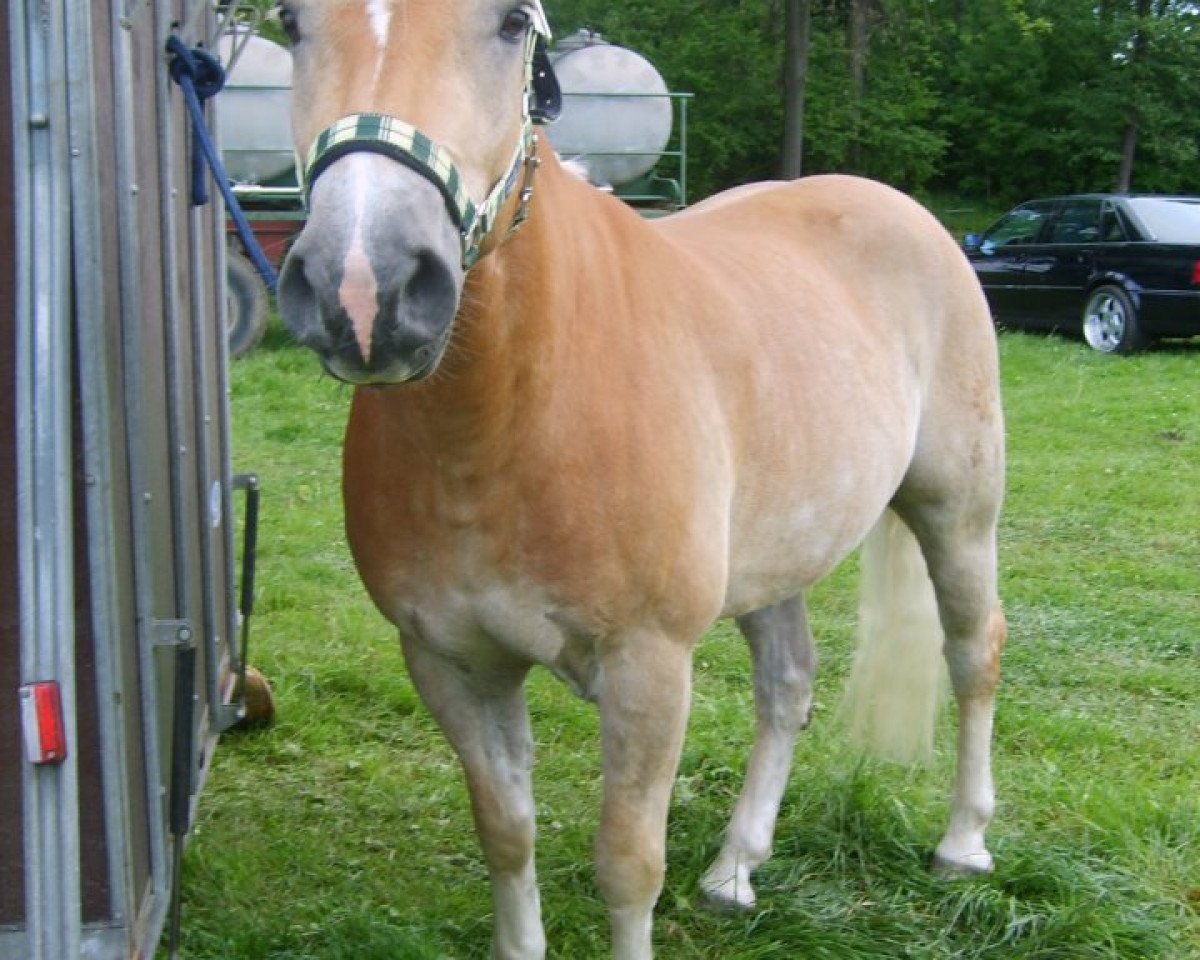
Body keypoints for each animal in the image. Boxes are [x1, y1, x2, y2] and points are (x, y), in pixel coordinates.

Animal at [276, 3, 1006, 957]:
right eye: (291, 22)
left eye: (510, 24)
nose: (364, 289)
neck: (508, 420)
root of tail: (902, 210)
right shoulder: (450, 663)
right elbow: (506, 835)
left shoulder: (647, 668)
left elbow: (628, 865)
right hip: (776, 555)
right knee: (788, 685)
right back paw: (735, 870)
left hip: (957, 513)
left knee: (973, 653)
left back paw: (963, 844)